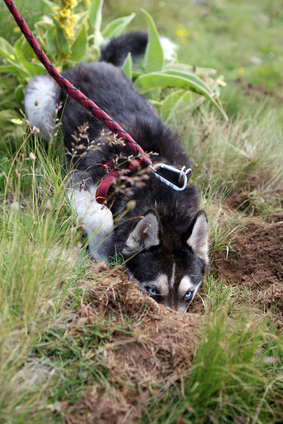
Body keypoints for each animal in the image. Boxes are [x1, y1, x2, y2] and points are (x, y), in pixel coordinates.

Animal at [24, 31, 210, 314]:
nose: (172, 322)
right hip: (42, 101)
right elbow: (103, 218)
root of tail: (97, 62)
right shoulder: (81, 181)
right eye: (151, 291)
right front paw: (103, 256)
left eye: (188, 295)